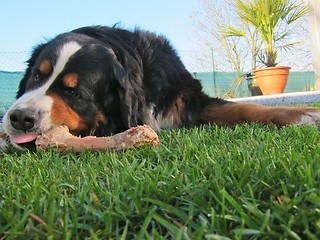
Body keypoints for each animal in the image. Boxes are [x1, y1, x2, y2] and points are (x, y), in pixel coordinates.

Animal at [0, 25, 320, 150]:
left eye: (72, 92)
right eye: (36, 77)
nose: (19, 118)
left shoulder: (187, 100)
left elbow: (246, 108)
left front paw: (304, 113)